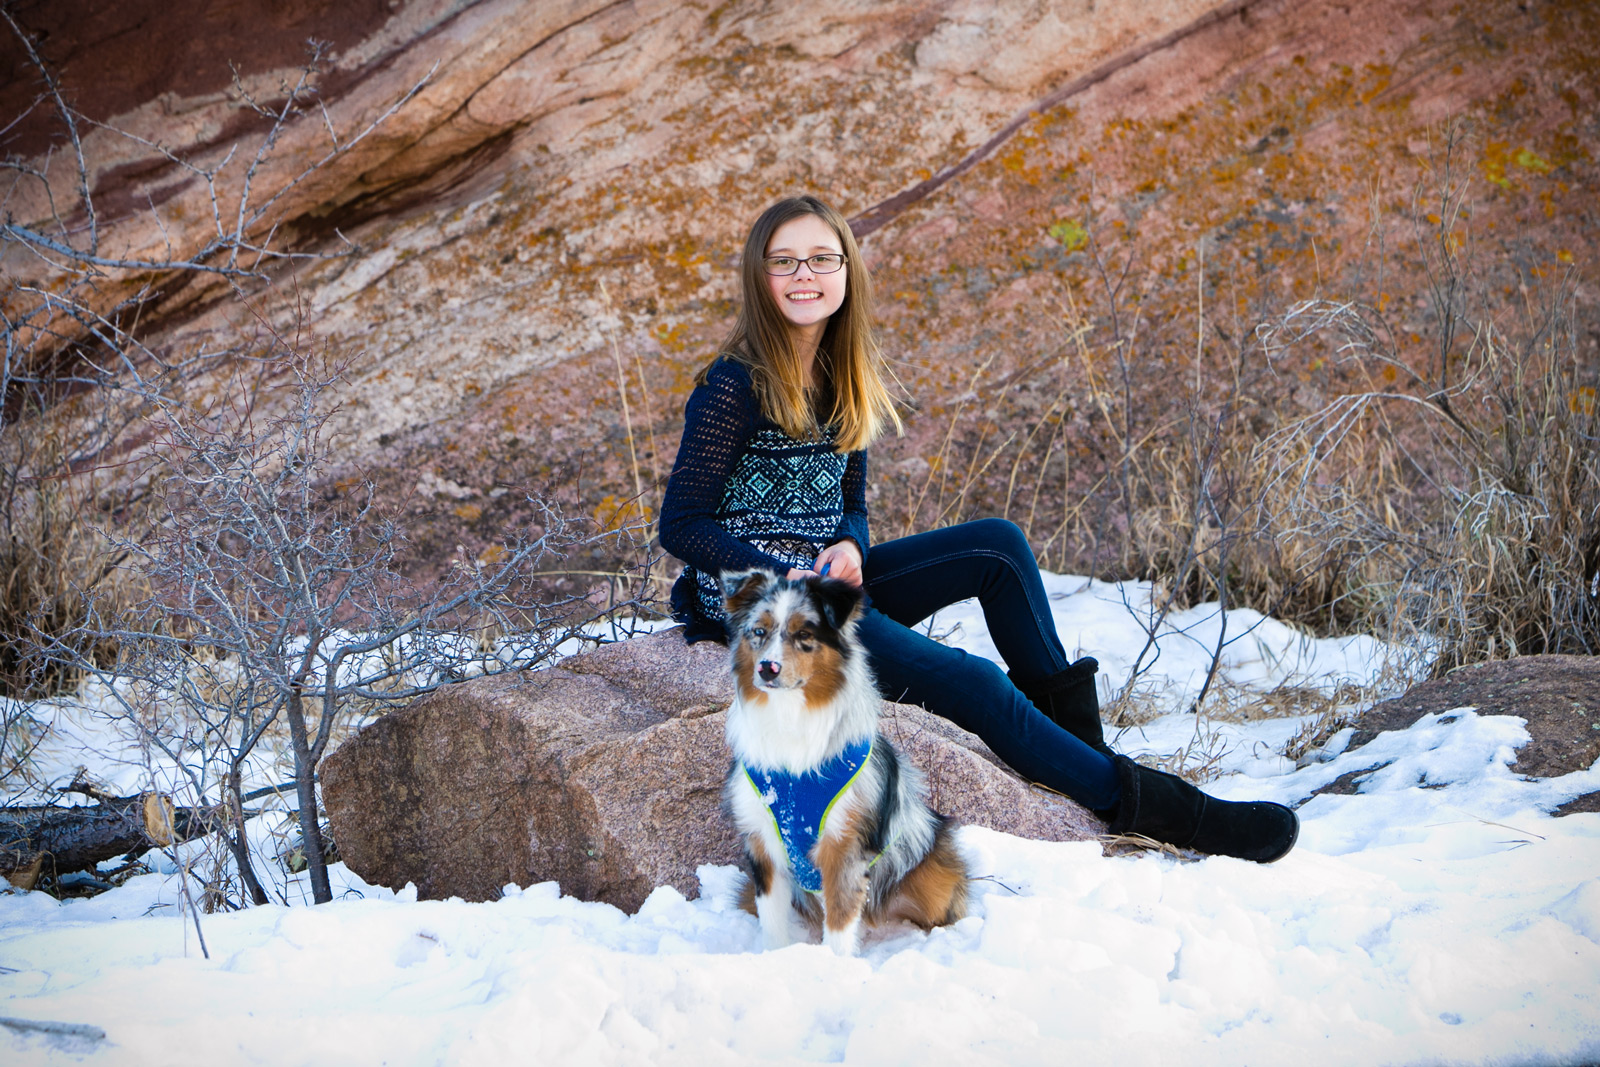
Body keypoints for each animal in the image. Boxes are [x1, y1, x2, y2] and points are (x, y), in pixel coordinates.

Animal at [720, 572, 966, 953]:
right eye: (759, 631)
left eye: (804, 635)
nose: (767, 668)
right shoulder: (763, 843)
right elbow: (773, 924)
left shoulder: (843, 843)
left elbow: (838, 922)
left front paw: (835, 964)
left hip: (931, 875)